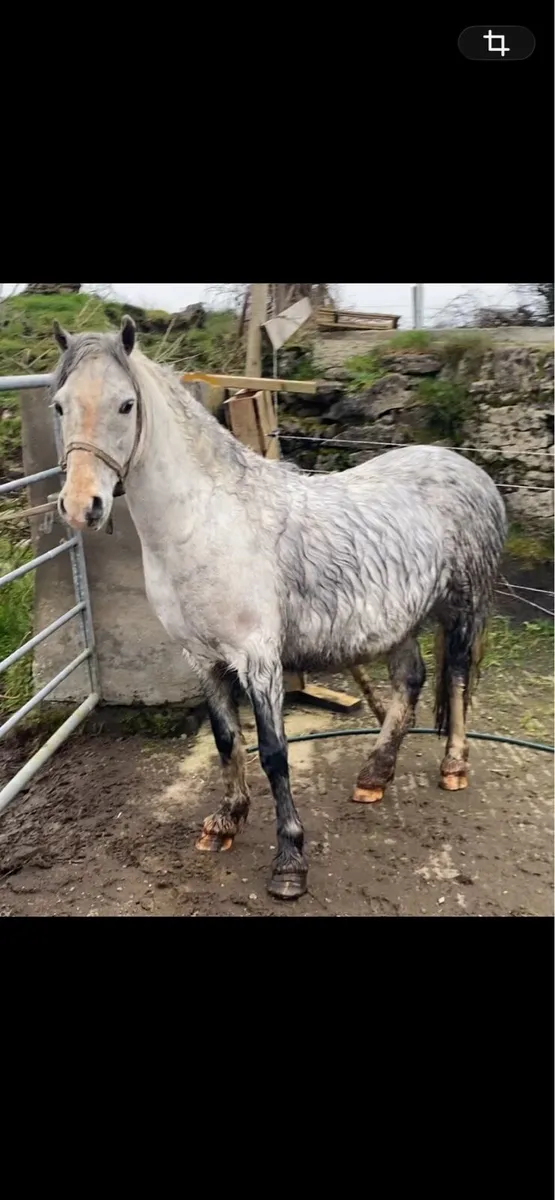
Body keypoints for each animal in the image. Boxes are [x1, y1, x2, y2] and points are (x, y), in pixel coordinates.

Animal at [52, 315, 507, 901]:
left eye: (126, 404)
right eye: (59, 405)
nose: (81, 505)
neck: (208, 521)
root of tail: (467, 468)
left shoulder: (259, 658)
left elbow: (273, 750)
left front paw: (290, 861)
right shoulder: (202, 658)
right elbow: (227, 739)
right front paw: (226, 820)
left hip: (464, 610)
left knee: (455, 679)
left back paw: (453, 765)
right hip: (398, 621)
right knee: (411, 681)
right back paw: (375, 774)